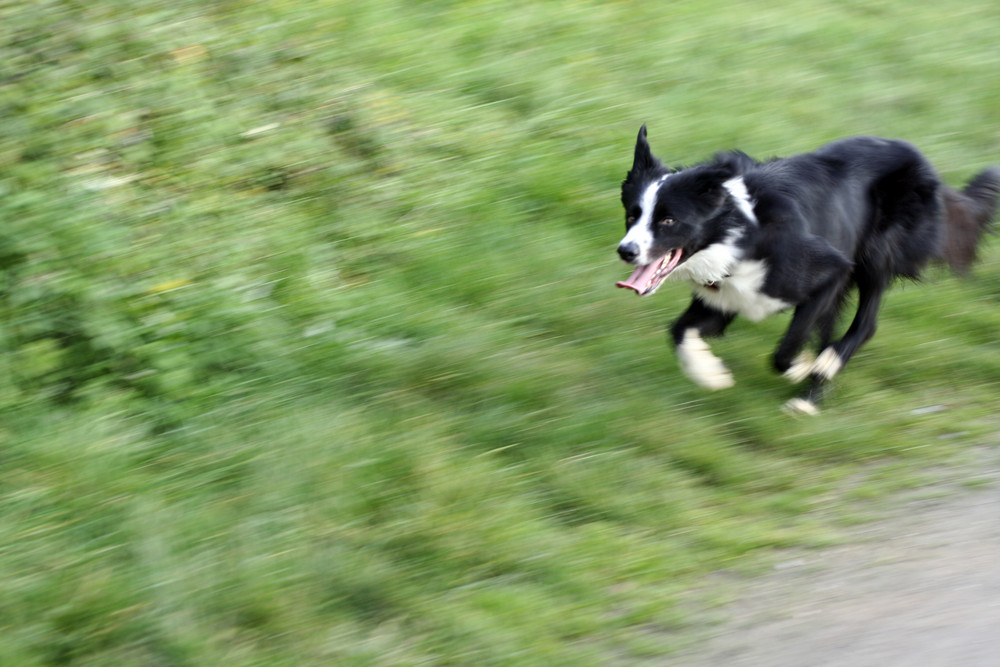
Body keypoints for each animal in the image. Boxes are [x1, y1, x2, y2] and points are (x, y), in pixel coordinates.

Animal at [612, 126, 996, 414]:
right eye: (632, 214)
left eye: (668, 220)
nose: (626, 251)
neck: (739, 231)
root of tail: (924, 162)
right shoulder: (724, 298)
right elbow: (677, 330)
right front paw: (711, 374)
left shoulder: (830, 271)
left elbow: (785, 350)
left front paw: (802, 367)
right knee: (834, 329)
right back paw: (813, 393)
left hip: (875, 254)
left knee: (866, 324)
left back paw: (819, 377)